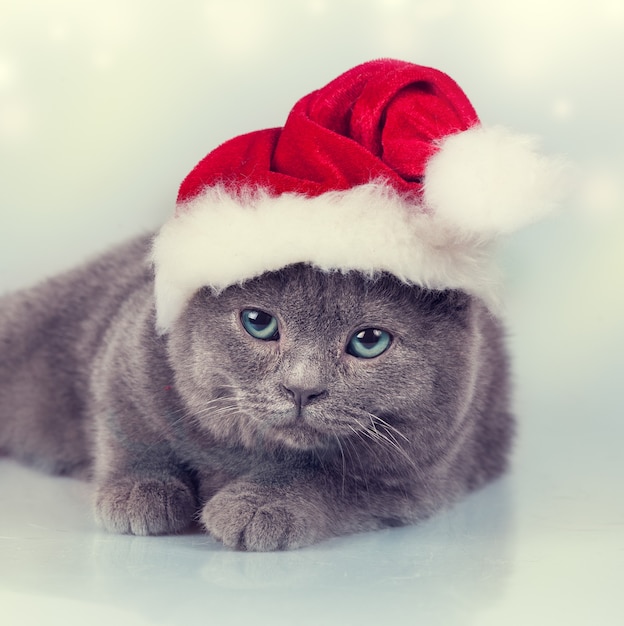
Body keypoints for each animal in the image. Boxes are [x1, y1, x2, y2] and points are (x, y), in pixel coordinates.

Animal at [0, 233, 512, 544]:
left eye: (369, 341)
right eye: (258, 322)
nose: (302, 388)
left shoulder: (417, 474)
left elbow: (328, 478)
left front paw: (258, 505)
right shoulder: (128, 354)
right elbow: (133, 430)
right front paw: (139, 493)